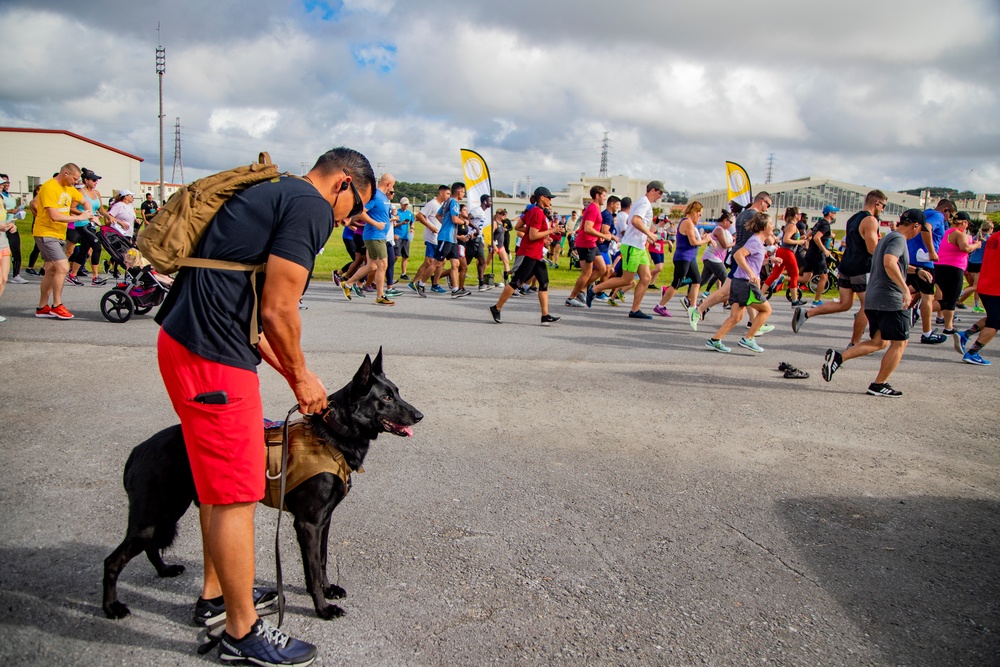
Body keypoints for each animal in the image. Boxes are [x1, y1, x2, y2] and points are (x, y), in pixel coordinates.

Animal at [103, 352, 424, 624]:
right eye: (386, 397)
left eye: (397, 392)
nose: (419, 415)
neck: (332, 434)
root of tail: (138, 450)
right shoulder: (308, 524)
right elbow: (311, 570)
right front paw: (322, 608)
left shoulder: (324, 521)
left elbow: (321, 561)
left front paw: (327, 588)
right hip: (153, 516)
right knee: (113, 561)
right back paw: (112, 607)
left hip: (168, 512)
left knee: (151, 546)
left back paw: (164, 570)